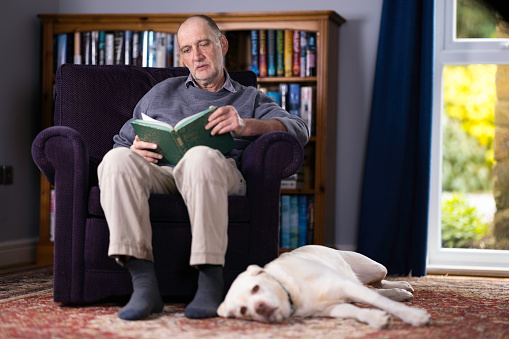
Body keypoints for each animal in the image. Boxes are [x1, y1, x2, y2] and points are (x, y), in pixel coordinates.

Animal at [216, 246, 430, 330]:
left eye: (255, 288)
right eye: (243, 311)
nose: (259, 308)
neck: (293, 292)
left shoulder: (345, 286)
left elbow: (378, 301)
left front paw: (414, 316)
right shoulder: (333, 308)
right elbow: (358, 311)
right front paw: (376, 318)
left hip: (376, 268)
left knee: (379, 285)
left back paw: (401, 286)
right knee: (376, 290)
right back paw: (399, 293)